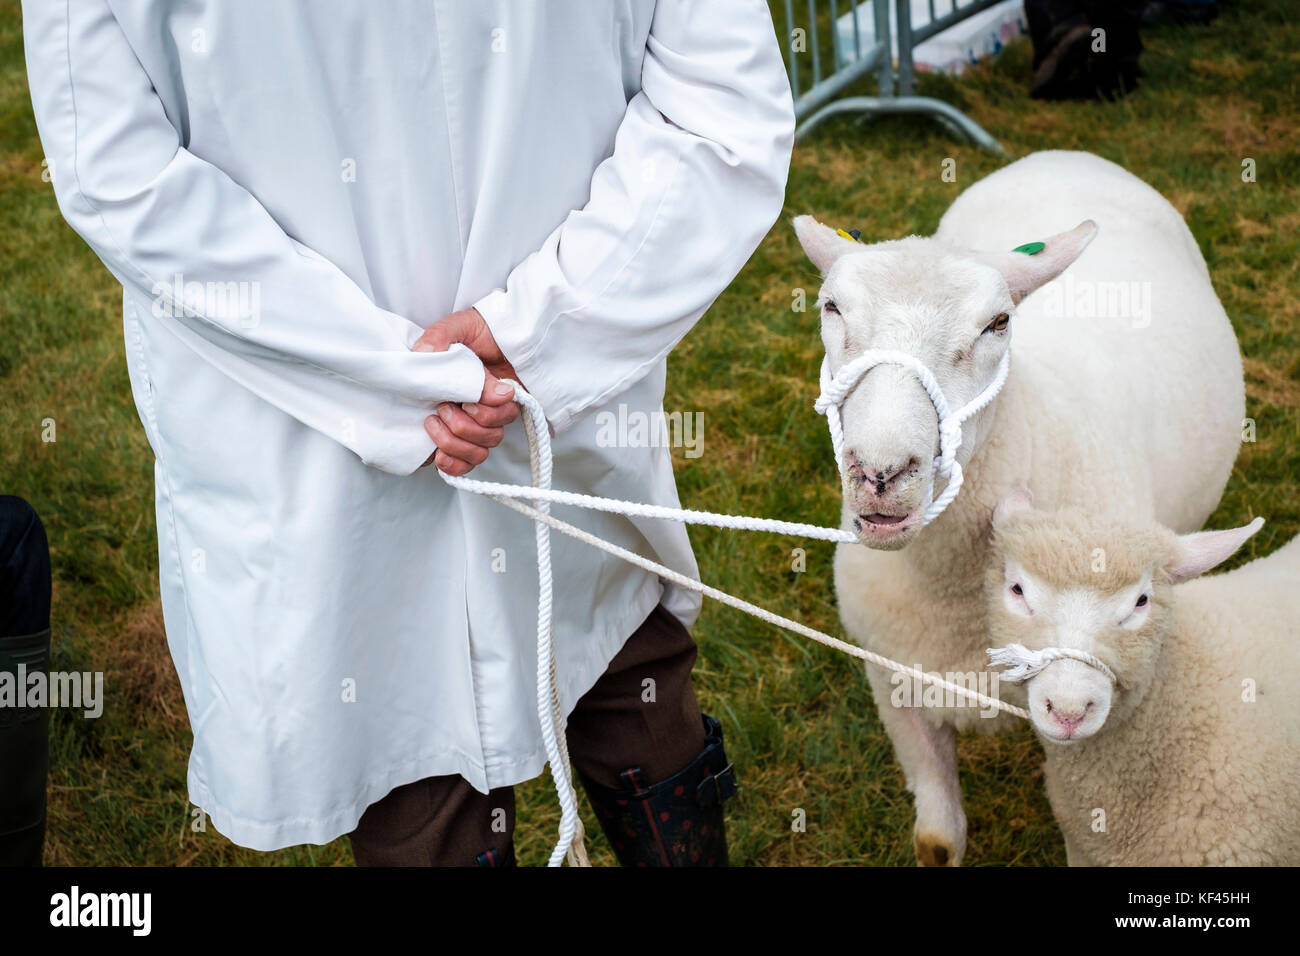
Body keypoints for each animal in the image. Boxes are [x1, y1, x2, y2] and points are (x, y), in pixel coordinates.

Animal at [795, 149, 1242, 868]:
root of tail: (1066, 153)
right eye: (831, 307)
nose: (881, 473)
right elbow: (937, 841)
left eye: (998, 324)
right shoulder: (893, 682)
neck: (950, 591)